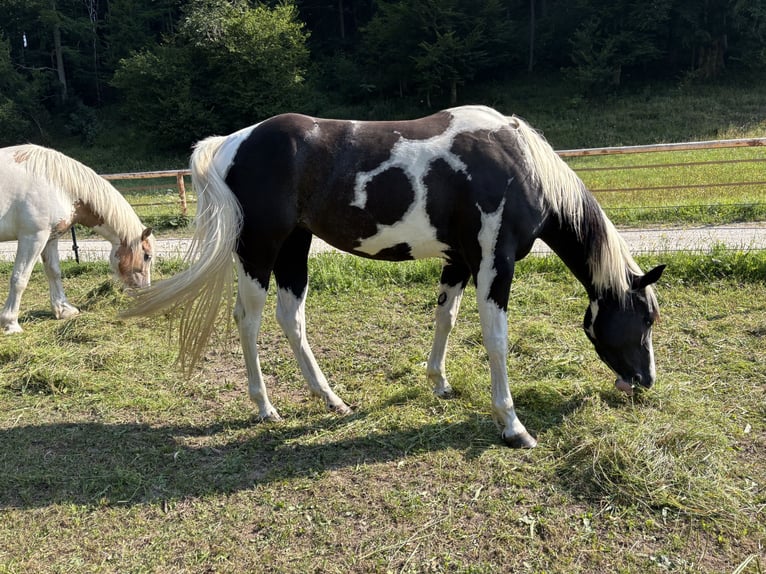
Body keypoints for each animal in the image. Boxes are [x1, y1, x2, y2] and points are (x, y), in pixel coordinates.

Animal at [0, 144, 155, 333]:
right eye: (147, 256)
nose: (145, 294)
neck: (56, 182)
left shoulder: (50, 239)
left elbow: (54, 272)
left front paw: (64, 310)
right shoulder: (33, 237)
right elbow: (19, 278)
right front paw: (10, 323)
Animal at [125, 105, 665, 448]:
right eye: (645, 319)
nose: (645, 381)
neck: (518, 163)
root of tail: (232, 142)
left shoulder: (459, 261)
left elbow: (446, 319)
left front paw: (439, 382)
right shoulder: (495, 262)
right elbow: (496, 340)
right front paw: (512, 426)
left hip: (295, 248)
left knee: (291, 318)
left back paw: (331, 399)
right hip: (259, 250)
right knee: (249, 320)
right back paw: (265, 407)